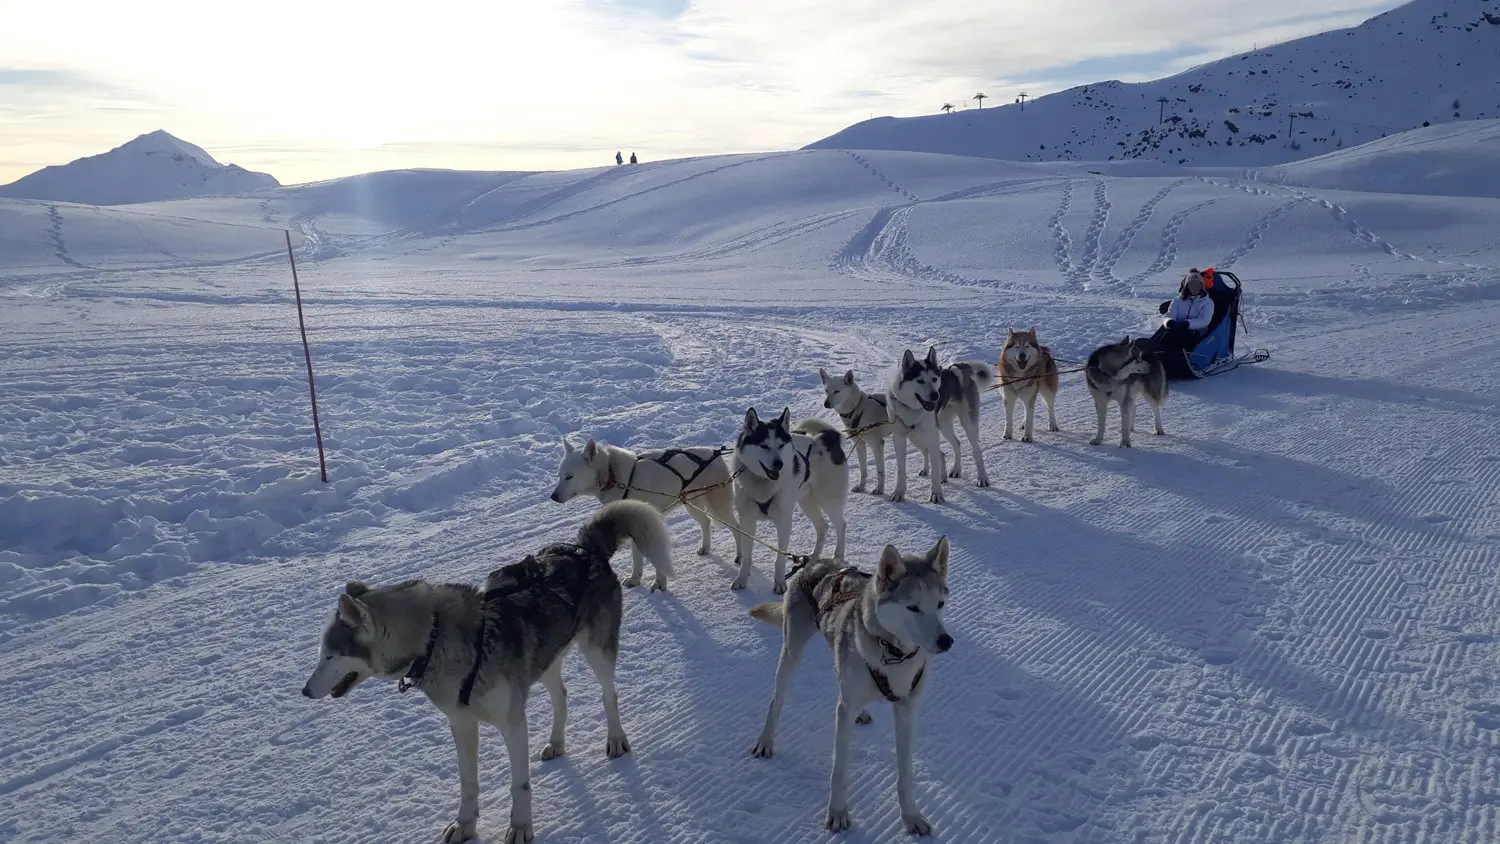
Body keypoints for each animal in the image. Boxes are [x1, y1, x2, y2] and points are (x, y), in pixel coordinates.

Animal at [301, 500, 672, 844]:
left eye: (329, 655)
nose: (304, 691)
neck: (436, 638)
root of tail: (584, 548)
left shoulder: (513, 724)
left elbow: (519, 785)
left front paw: (520, 827)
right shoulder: (462, 724)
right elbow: (468, 782)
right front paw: (465, 825)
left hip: (597, 652)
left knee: (609, 695)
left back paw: (615, 739)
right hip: (545, 659)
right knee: (562, 696)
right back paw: (556, 742)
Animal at [552, 440, 738, 590]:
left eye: (569, 477)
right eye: (559, 476)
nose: (553, 497)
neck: (616, 476)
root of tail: (715, 453)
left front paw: (660, 583)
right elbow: (637, 559)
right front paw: (635, 579)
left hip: (718, 507)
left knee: (737, 528)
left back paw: (740, 558)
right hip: (692, 506)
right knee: (706, 522)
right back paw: (706, 547)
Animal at [732, 407, 852, 593]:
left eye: (781, 445)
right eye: (764, 445)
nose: (779, 464)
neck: (763, 483)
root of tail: (825, 437)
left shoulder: (784, 522)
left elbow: (780, 559)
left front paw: (780, 582)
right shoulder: (747, 522)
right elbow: (747, 557)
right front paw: (742, 578)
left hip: (828, 500)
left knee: (841, 525)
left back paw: (838, 556)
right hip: (807, 502)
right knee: (822, 526)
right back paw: (813, 558)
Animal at [747, 539, 948, 833]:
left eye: (940, 604)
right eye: (913, 607)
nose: (947, 641)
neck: (893, 655)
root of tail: (814, 562)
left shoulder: (907, 712)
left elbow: (905, 774)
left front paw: (910, 815)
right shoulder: (844, 716)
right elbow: (839, 771)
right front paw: (838, 812)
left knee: (839, 677)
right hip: (791, 654)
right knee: (777, 699)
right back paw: (765, 740)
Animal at [882, 346, 990, 506]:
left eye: (934, 379)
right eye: (920, 380)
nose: (935, 396)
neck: (912, 409)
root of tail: (954, 370)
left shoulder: (932, 438)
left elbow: (935, 470)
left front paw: (937, 494)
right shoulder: (899, 439)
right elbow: (901, 470)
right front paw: (899, 492)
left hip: (966, 424)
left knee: (976, 450)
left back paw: (982, 478)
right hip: (931, 431)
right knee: (956, 444)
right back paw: (955, 470)